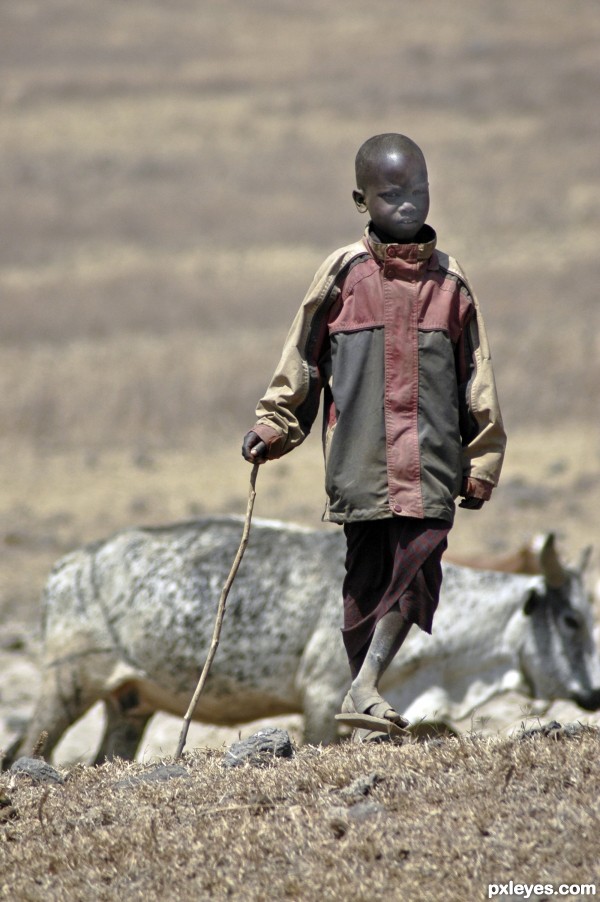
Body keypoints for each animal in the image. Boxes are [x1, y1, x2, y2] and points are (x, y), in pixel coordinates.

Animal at [4, 524, 600, 764]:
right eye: (571, 620)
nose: (593, 693)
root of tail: (67, 566)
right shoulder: (320, 702)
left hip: (129, 705)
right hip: (66, 687)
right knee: (28, 749)